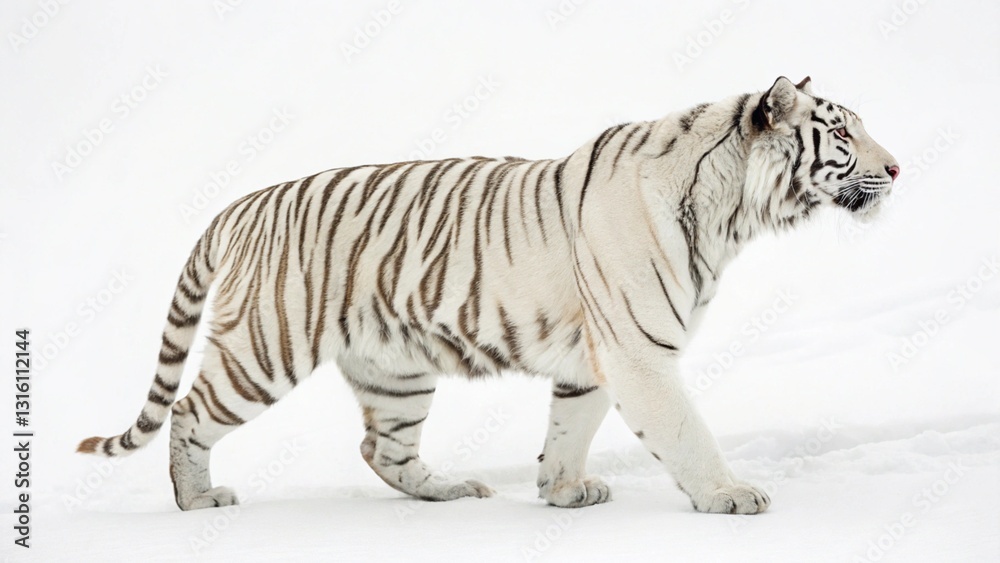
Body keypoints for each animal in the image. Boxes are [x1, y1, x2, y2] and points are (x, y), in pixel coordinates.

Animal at [77, 76, 898, 514]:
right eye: (843, 136)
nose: (897, 168)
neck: (732, 214)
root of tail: (242, 203)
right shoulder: (638, 350)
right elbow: (684, 430)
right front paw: (730, 496)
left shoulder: (595, 356)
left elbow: (569, 427)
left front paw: (562, 492)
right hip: (265, 348)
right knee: (189, 411)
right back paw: (197, 501)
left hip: (397, 368)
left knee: (381, 446)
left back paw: (449, 489)